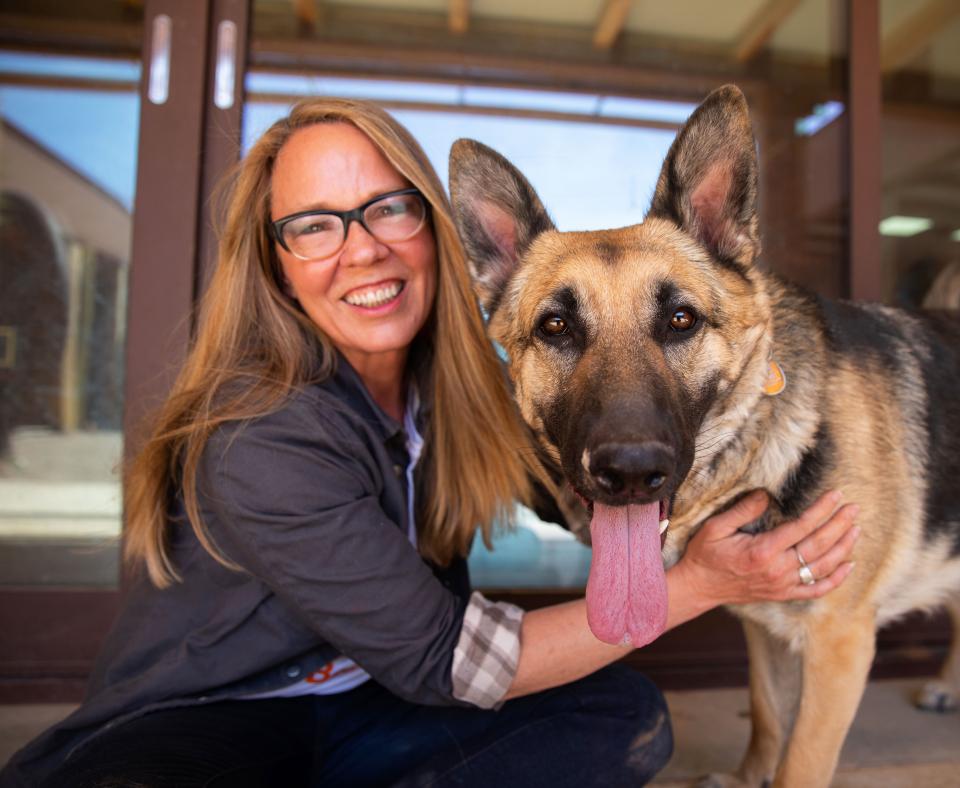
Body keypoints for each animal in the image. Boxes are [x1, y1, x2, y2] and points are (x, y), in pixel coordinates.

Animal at [450, 86, 960, 788]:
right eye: (556, 327)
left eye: (680, 319)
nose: (630, 473)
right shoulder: (763, 625)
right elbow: (768, 714)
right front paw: (749, 778)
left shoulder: (840, 644)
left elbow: (800, 761)